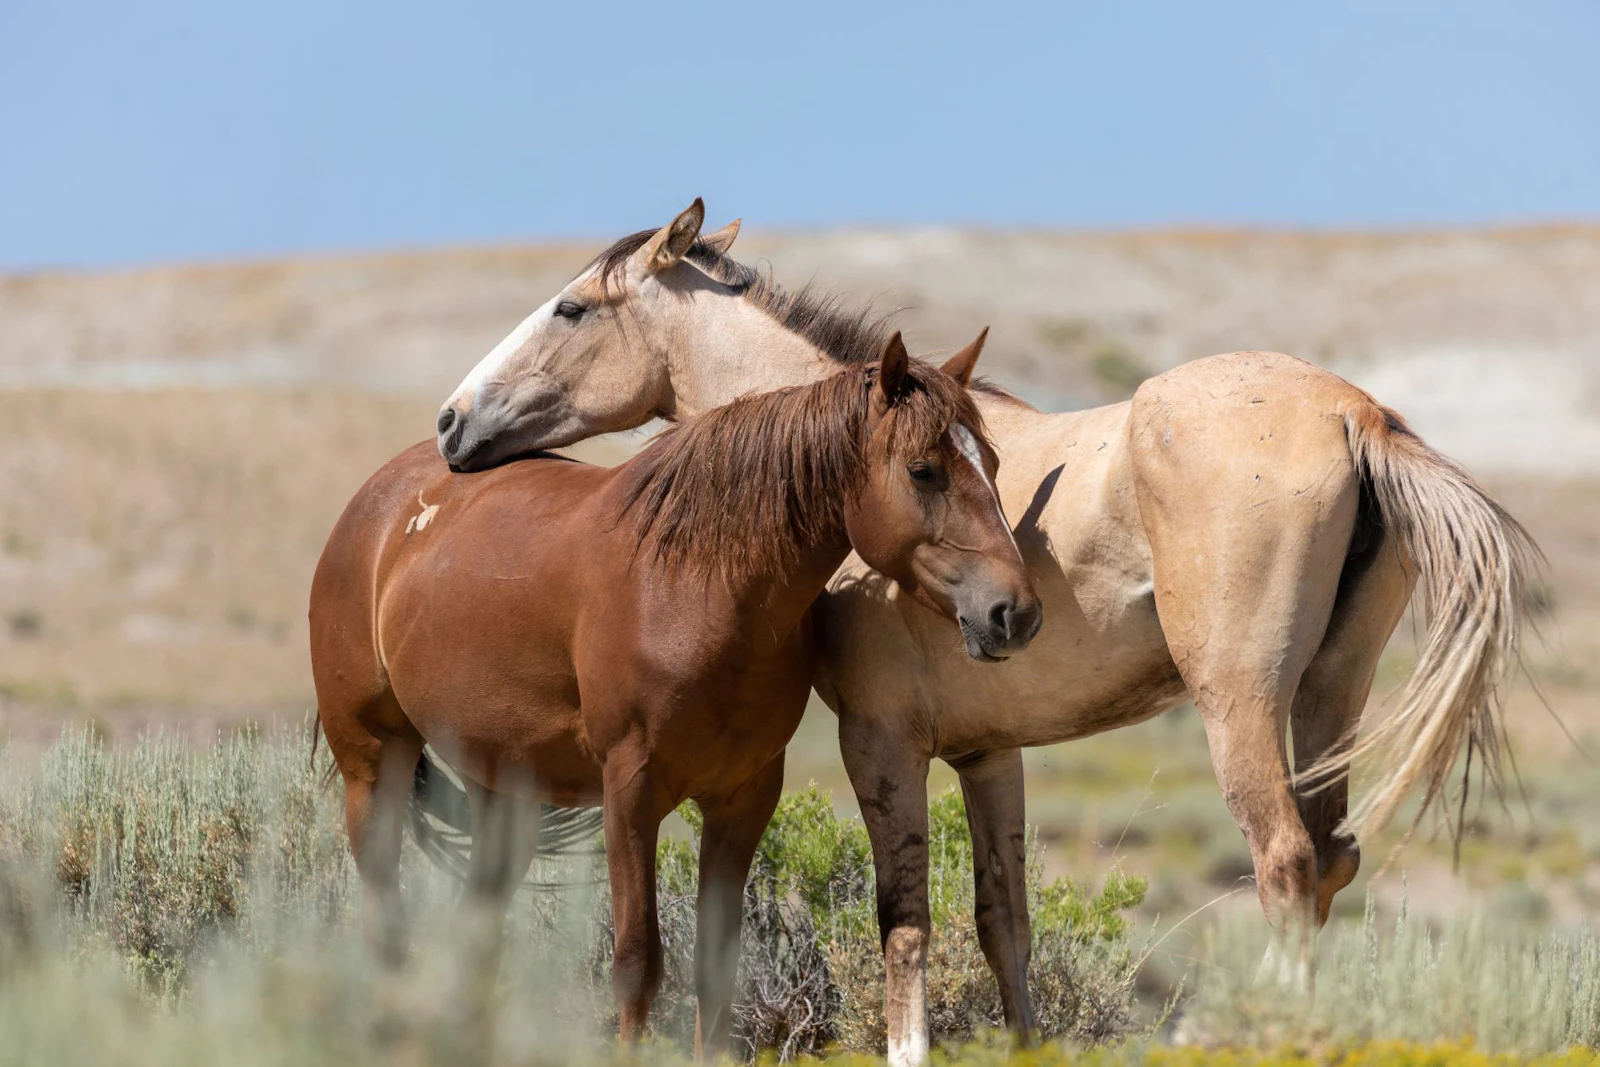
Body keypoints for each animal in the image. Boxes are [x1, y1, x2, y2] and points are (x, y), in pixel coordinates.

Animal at [310, 326, 1039, 1053]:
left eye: (993, 462)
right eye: (923, 470)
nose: (1017, 612)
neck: (698, 583)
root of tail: (376, 504)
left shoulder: (743, 797)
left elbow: (716, 968)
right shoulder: (630, 791)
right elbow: (637, 962)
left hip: (500, 786)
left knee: (477, 929)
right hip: (373, 762)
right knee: (385, 917)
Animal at [435, 200, 1539, 1065]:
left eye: (572, 307)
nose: (451, 422)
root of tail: (1354, 413)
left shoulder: (881, 742)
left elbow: (904, 920)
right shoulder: (987, 752)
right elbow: (1002, 924)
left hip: (1241, 705)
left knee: (1285, 863)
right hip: (1325, 699)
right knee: (1330, 859)